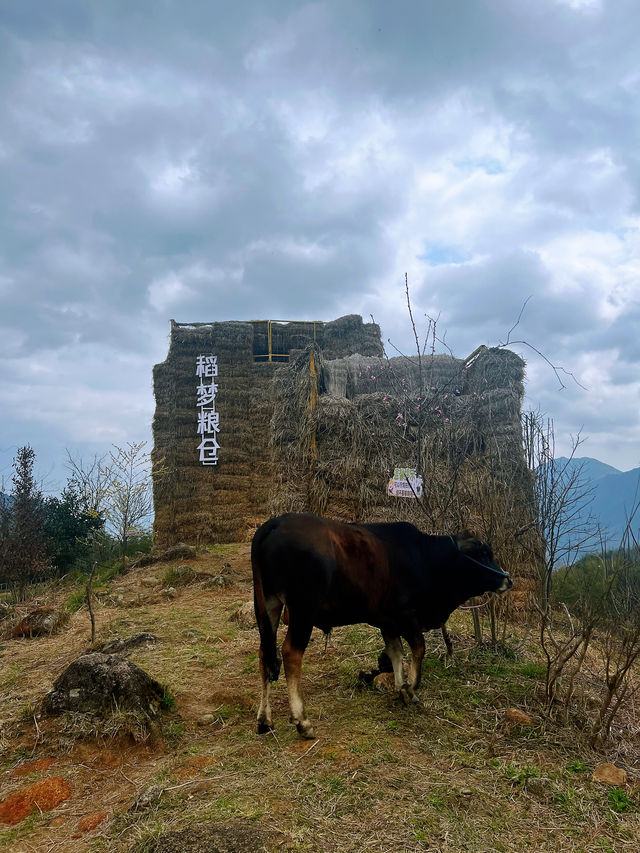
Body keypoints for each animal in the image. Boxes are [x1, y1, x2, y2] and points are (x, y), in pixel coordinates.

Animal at [252, 512, 512, 740]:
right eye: (482, 553)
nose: (507, 580)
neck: (424, 558)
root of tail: (274, 523)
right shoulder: (407, 615)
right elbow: (419, 648)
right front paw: (411, 688)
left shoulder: (388, 622)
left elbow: (395, 652)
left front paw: (400, 687)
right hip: (302, 612)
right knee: (290, 654)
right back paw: (302, 721)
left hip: (269, 604)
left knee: (265, 653)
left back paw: (265, 720)